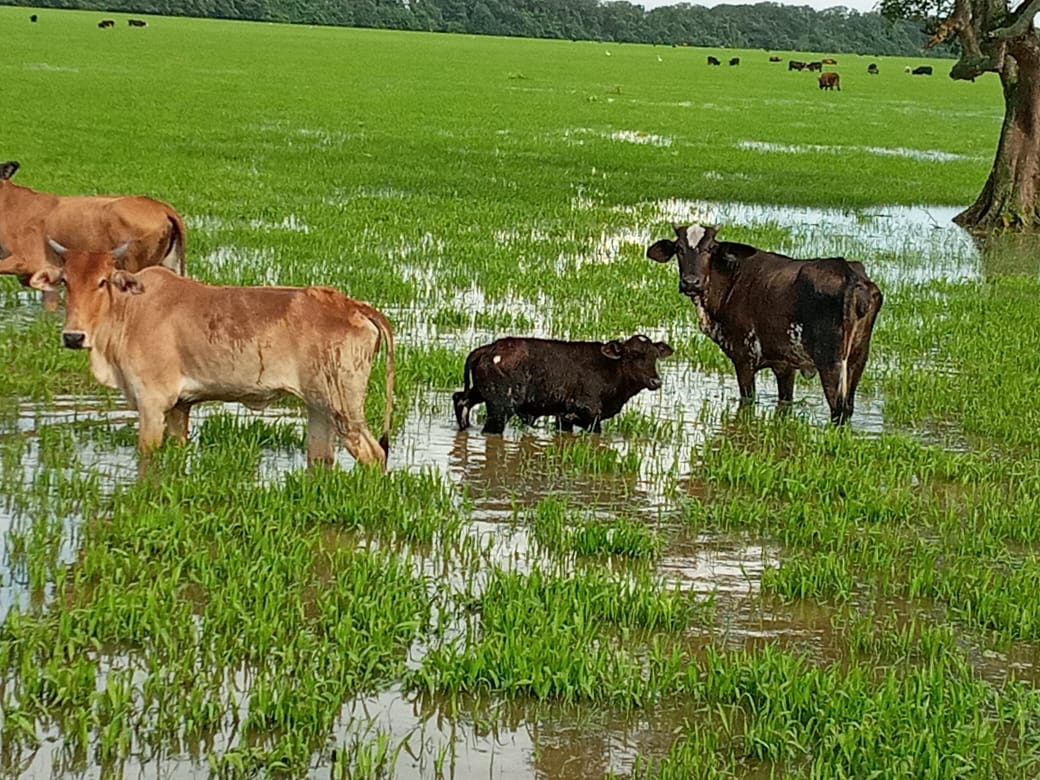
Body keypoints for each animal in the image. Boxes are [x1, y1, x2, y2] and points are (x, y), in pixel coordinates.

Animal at [31, 245, 397, 470]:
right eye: (65, 281)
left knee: (374, 453)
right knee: (321, 458)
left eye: (103, 281)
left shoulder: (152, 403)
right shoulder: (180, 406)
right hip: (319, 407)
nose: (73, 336)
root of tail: (353, 305)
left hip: (344, 406)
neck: (129, 310)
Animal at [451, 334, 669, 436]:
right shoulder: (590, 415)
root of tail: (490, 347)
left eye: (655, 356)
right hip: (500, 409)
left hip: (479, 392)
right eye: (634, 355)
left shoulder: (565, 418)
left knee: (461, 399)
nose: (655, 381)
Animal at [644, 222, 881, 424]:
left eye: (710, 248)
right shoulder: (784, 365)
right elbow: (785, 402)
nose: (691, 282)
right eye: (679, 249)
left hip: (831, 363)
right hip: (858, 359)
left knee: (838, 411)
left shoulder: (744, 357)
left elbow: (747, 400)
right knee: (848, 408)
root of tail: (851, 275)